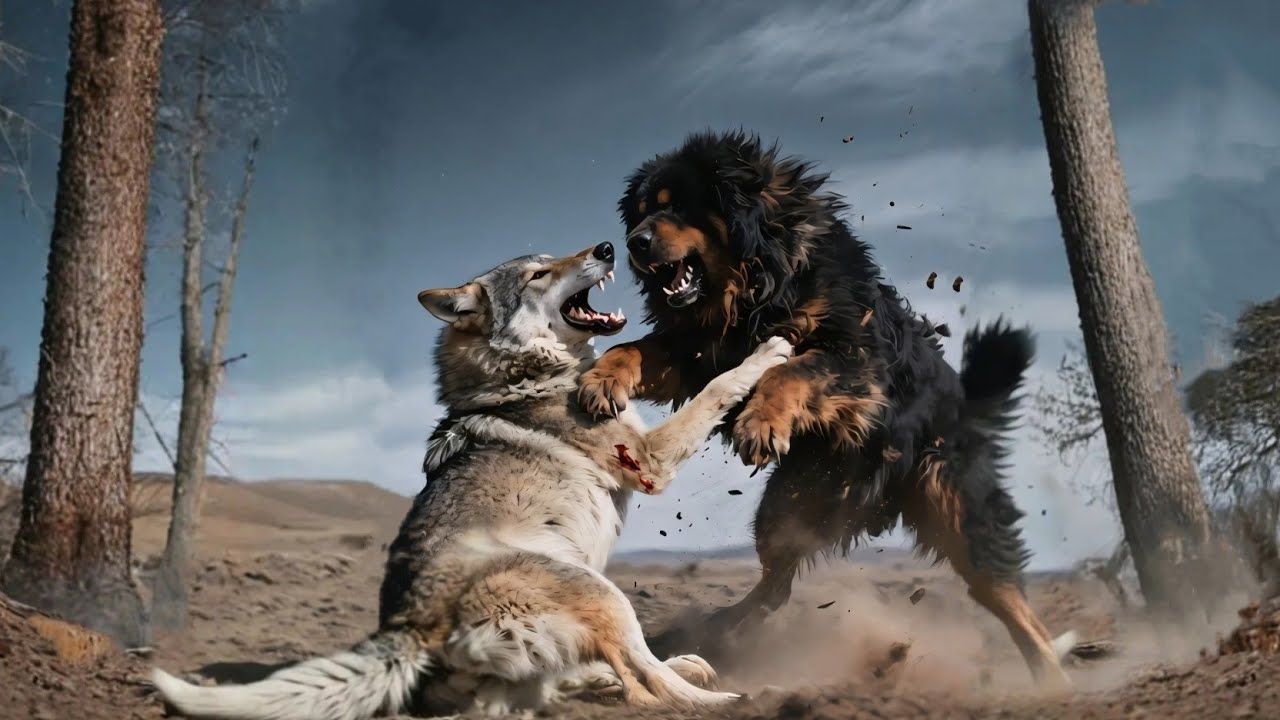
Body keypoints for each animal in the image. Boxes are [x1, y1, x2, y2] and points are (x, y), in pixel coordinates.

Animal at [149, 241, 792, 720]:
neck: (523, 375)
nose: (608, 246)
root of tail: (412, 629)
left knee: (597, 676)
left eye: (555, 254)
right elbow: (718, 387)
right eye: (538, 274)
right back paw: (730, 698)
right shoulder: (650, 460)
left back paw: (679, 669)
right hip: (597, 588)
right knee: (642, 681)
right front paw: (769, 351)